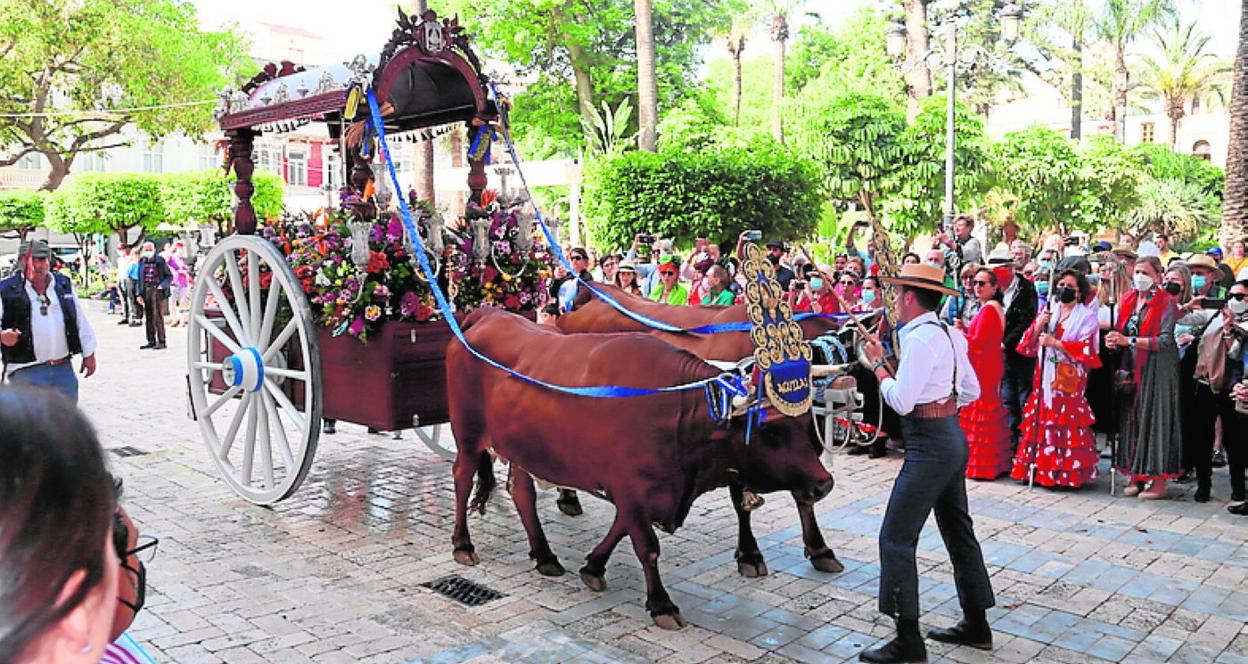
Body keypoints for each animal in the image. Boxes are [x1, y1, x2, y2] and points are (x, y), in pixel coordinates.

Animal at [447, 308, 834, 629]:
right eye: (770, 432)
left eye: (806, 424)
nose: (824, 484)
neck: (675, 413)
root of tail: (487, 315)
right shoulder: (631, 489)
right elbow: (646, 545)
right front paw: (661, 604)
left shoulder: (640, 490)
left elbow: (621, 529)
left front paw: (593, 566)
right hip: (468, 435)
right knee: (462, 479)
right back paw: (463, 544)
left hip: (522, 448)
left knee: (521, 492)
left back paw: (544, 555)